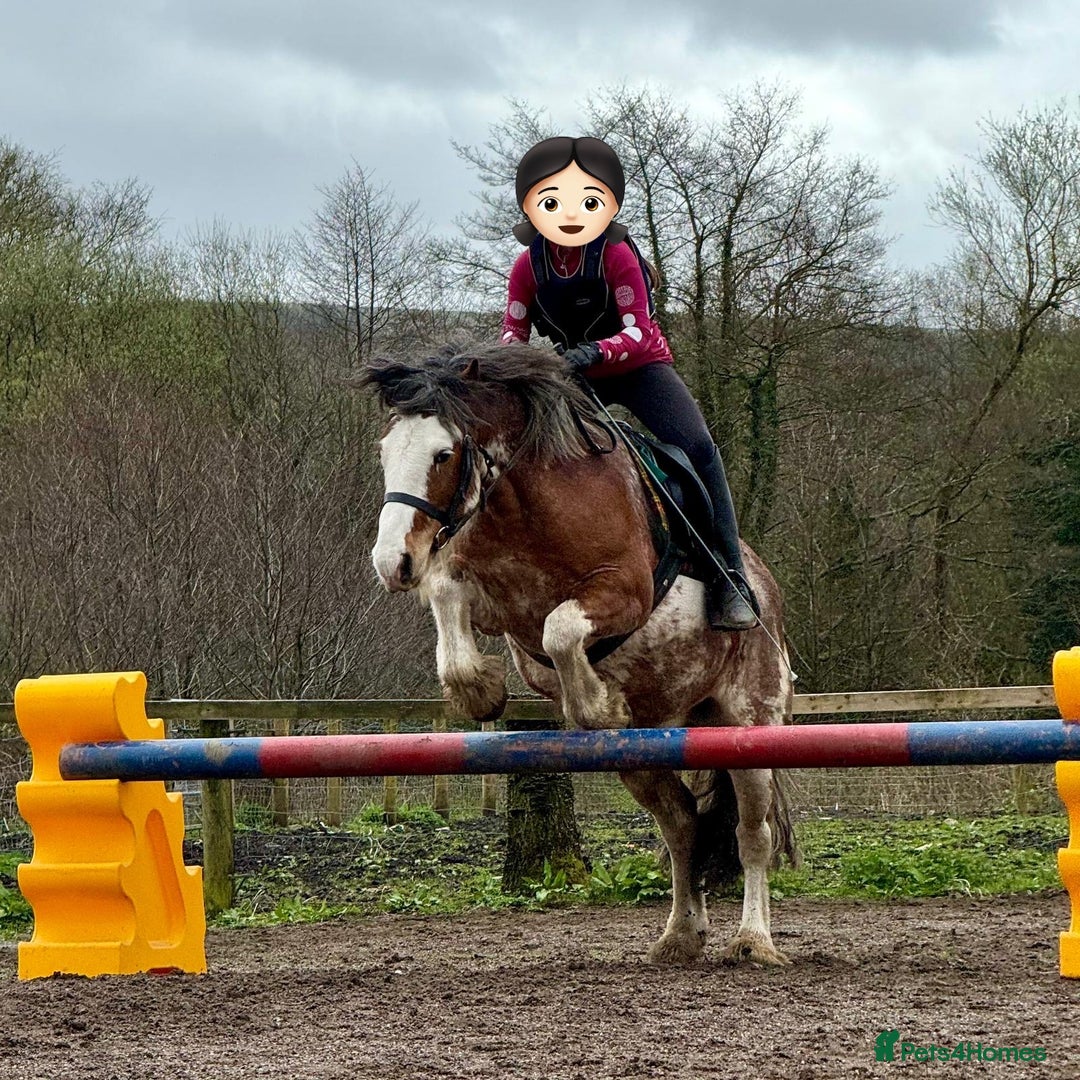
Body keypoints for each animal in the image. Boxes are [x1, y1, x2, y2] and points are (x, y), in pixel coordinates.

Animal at [363, 341, 797, 965]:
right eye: (385, 452)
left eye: (443, 454)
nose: (392, 564)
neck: (525, 500)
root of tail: (768, 591)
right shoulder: (485, 597)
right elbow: (449, 596)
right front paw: (481, 692)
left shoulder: (624, 592)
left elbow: (561, 629)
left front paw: (596, 706)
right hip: (647, 749)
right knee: (682, 825)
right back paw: (680, 935)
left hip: (750, 721)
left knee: (751, 834)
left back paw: (754, 941)